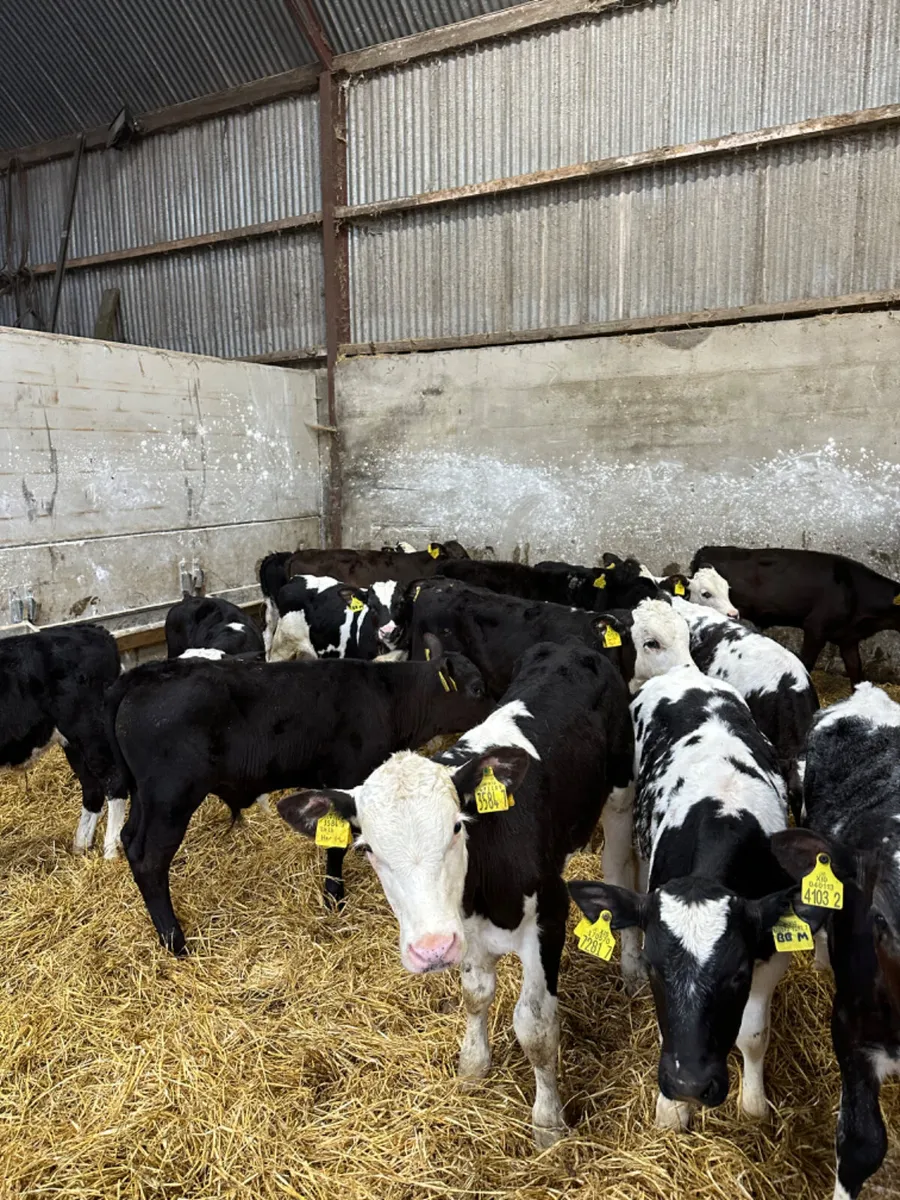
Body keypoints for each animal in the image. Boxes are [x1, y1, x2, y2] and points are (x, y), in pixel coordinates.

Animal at [0, 625, 128, 858]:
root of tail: (98, 631)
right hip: (73, 744)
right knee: (93, 788)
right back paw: (81, 845)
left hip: (91, 733)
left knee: (114, 782)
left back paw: (110, 851)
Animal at [108, 639, 492, 953]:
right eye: (477, 688)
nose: (494, 710)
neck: (390, 697)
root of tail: (146, 674)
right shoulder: (346, 777)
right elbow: (336, 846)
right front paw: (334, 897)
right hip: (170, 800)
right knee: (149, 859)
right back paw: (174, 940)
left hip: (145, 797)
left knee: (129, 839)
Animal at [277, 640, 634, 1147]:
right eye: (367, 849)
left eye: (456, 827)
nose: (432, 949)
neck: (480, 889)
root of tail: (572, 645)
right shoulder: (467, 931)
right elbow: (476, 994)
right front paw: (473, 1066)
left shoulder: (549, 916)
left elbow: (535, 1026)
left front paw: (548, 1124)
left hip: (621, 793)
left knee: (621, 870)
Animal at [569, 631, 820, 1132]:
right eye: (655, 968)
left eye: (737, 973)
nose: (688, 1085)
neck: (723, 810)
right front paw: (670, 1110)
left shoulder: (772, 947)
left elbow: (754, 1032)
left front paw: (753, 1104)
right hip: (621, 803)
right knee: (619, 872)